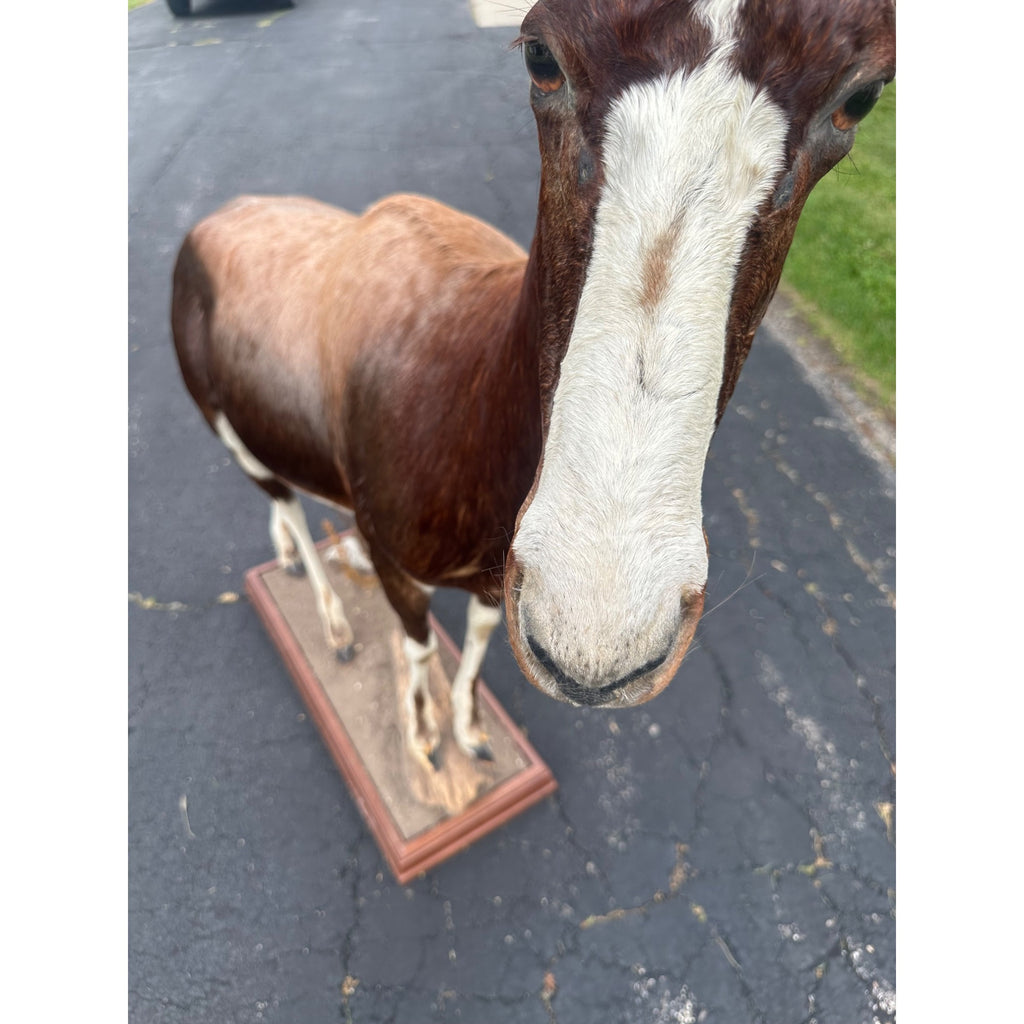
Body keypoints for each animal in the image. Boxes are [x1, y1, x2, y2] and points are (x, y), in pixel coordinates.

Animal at [171, 0, 895, 770]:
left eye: (860, 97)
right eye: (540, 55)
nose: (595, 651)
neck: (454, 348)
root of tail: (214, 223)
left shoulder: (498, 583)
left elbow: (478, 642)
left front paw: (469, 731)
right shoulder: (398, 565)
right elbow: (419, 645)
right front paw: (424, 738)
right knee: (284, 500)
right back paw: (332, 621)